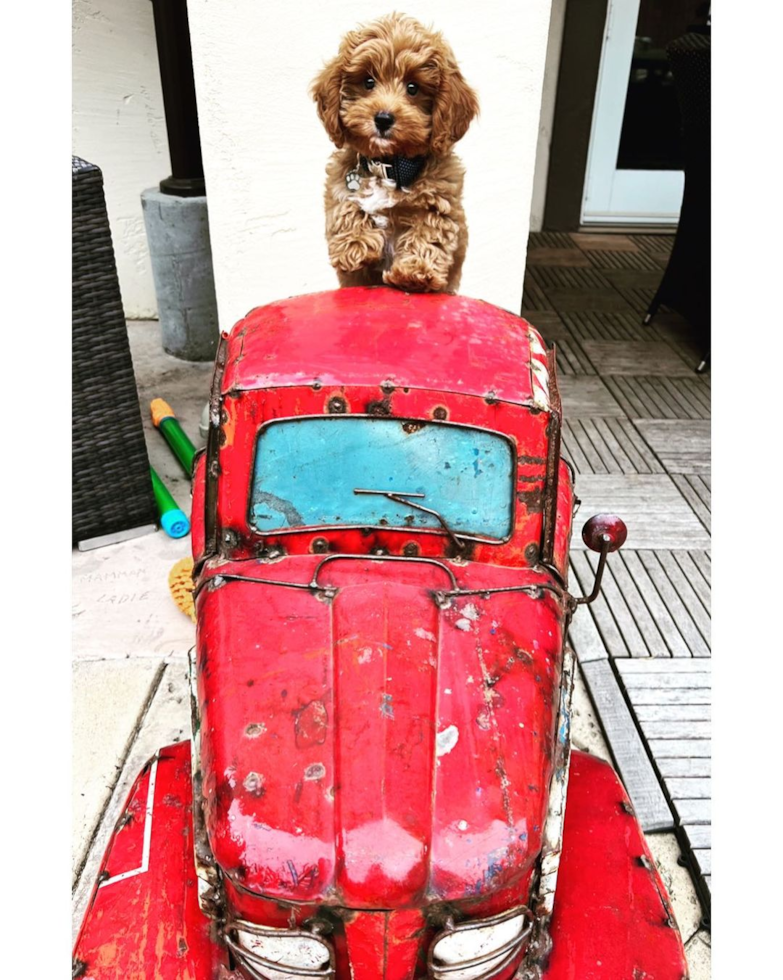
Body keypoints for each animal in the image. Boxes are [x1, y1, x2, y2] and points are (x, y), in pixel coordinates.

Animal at [312, 11, 478, 292]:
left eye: (413, 88)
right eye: (368, 82)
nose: (383, 118)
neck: (390, 166)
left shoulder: (440, 201)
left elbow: (429, 232)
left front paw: (416, 272)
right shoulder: (340, 180)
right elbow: (345, 205)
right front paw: (354, 246)